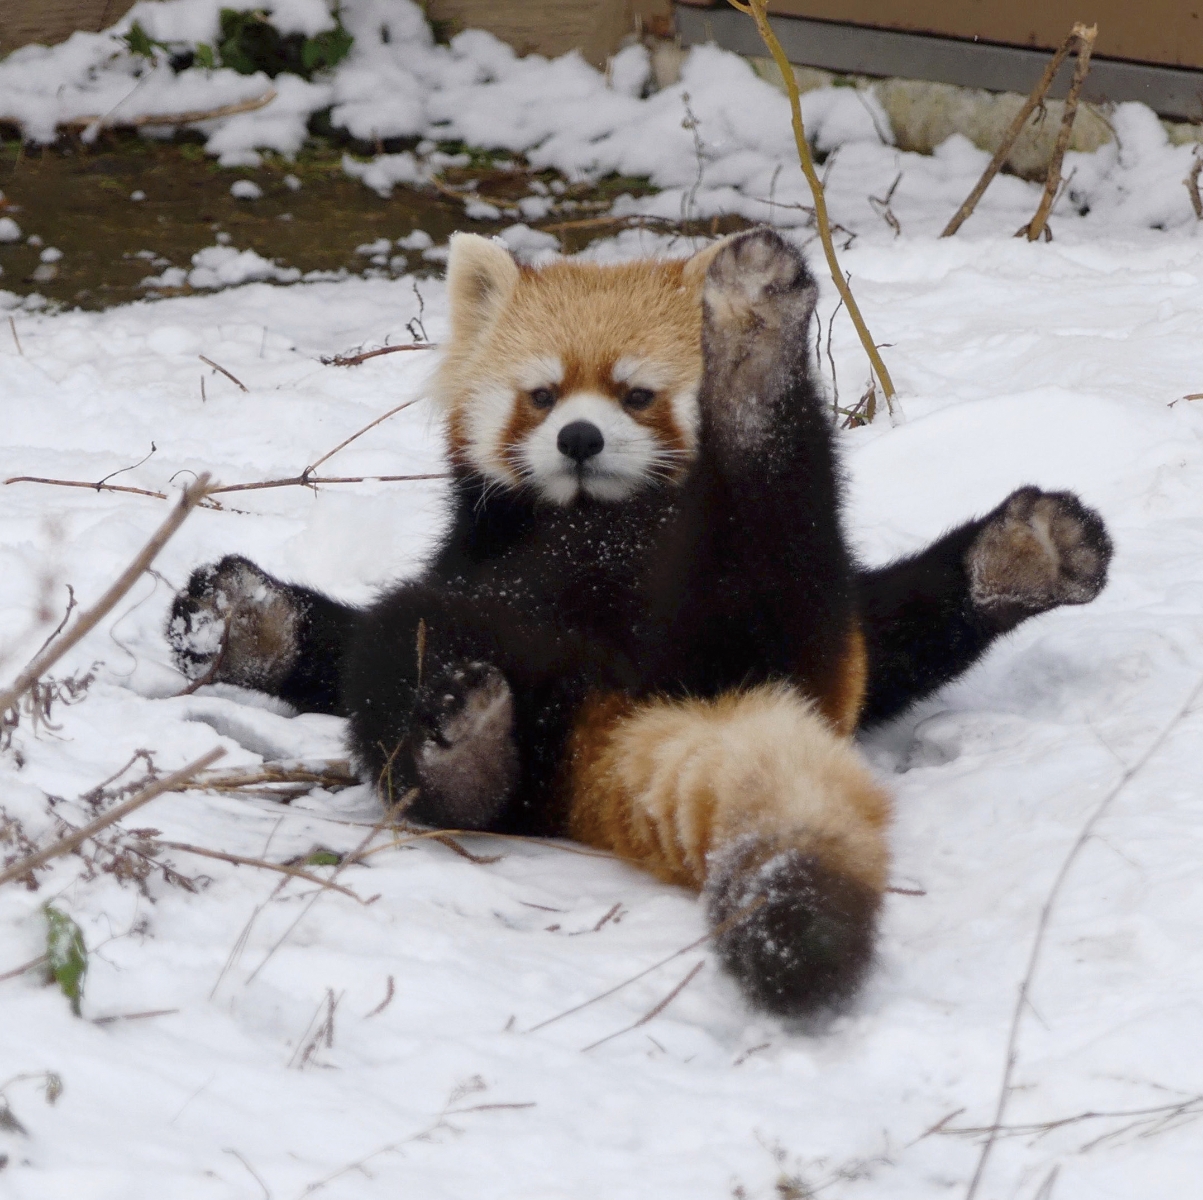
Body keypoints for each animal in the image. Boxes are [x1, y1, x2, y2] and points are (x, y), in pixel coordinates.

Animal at [167, 229, 1106, 1019]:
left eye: (637, 394)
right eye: (542, 395)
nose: (578, 438)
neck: (603, 517)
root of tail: (629, 698)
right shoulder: (469, 552)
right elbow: (345, 647)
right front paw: (249, 626)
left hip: (788, 631)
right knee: (407, 662)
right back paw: (467, 754)